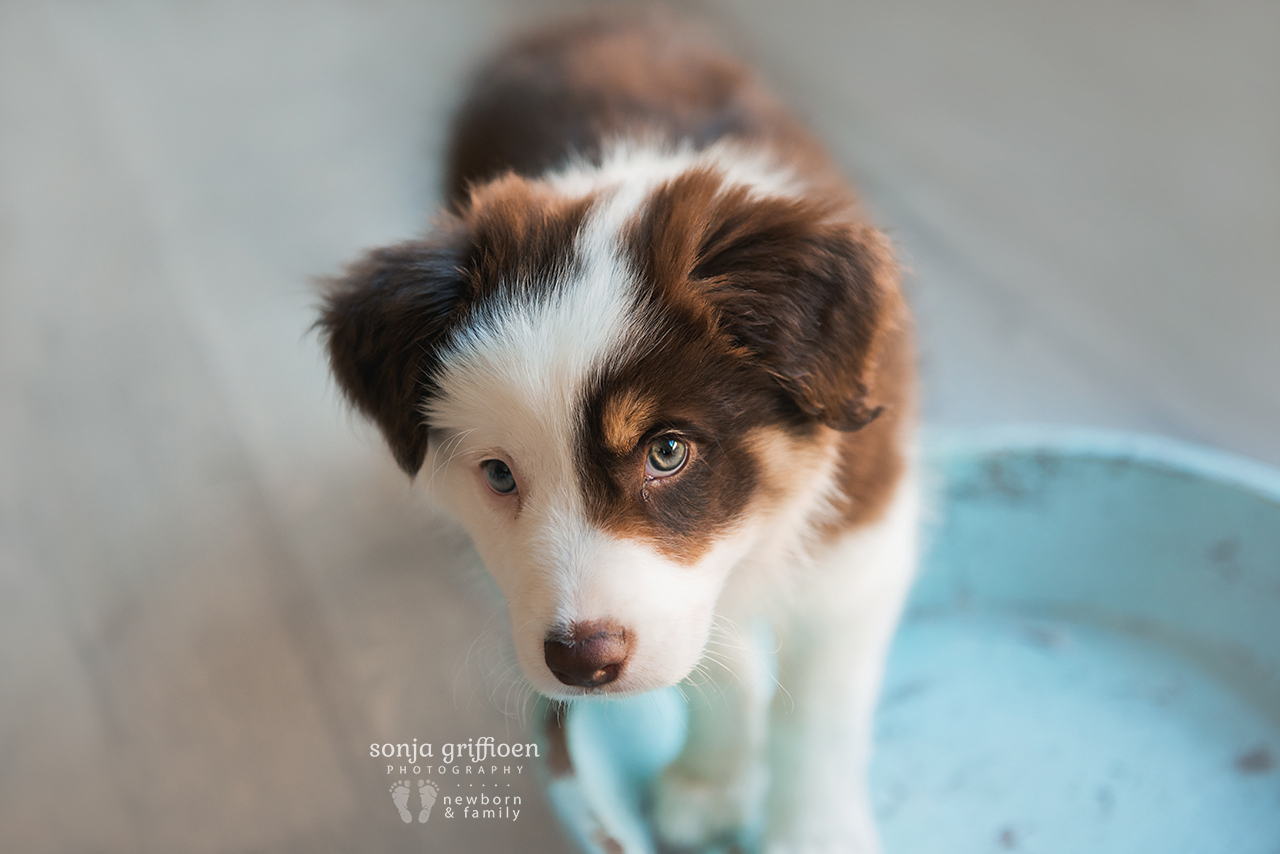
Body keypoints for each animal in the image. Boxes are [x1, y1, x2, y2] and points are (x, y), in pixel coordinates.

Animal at [320, 8, 921, 854]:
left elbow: (818, 716)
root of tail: (579, 20)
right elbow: (717, 654)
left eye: (667, 451)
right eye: (498, 474)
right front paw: (710, 782)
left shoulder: (862, 538)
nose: (582, 664)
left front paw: (813, 833)